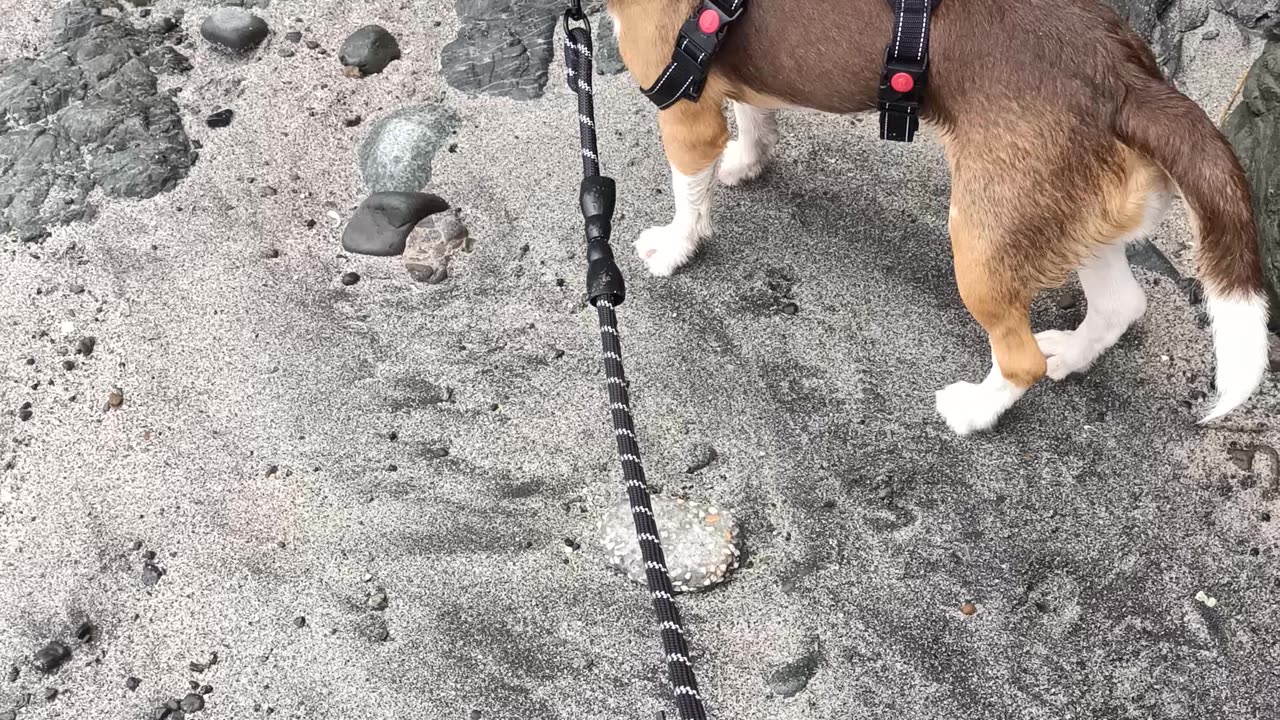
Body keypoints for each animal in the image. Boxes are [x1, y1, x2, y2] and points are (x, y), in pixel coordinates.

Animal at [606, 0, 1269, 430]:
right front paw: (746, 161)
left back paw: (973, 411)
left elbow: (689, 193)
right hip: (1068, 209)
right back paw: (1071, 354)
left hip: (980, 240)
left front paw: (676, 247)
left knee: (1020, 358)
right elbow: (753, 116)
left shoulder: (683, 108)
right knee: (1120, 305)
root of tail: (1128, 77)